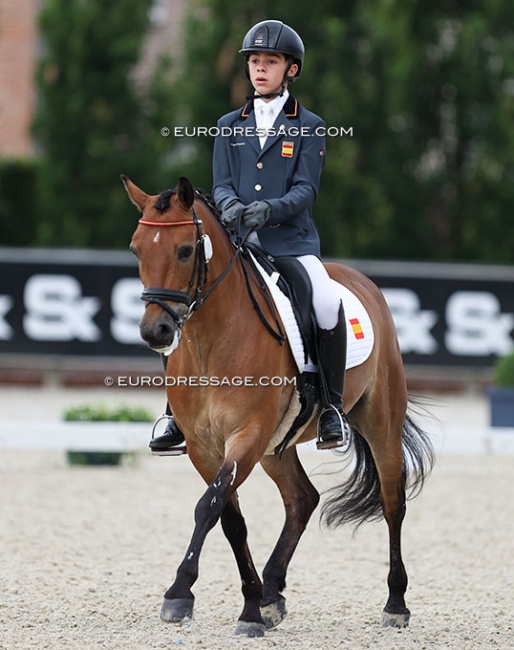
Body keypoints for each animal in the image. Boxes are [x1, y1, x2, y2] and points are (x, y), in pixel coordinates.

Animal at [122, 174, 434, 638]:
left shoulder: (246, 436)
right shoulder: (204, 447)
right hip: (276, 446)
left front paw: (182, 593)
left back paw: (396, 603)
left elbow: (208, 507)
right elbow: (228, 517)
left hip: (380, 421)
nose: (155, 331)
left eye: (186, 250)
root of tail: (360, 280)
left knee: (392, 502)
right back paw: (272, 594)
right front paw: (249, 604)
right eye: (136, 248)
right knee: (302, 498)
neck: (210, 342)